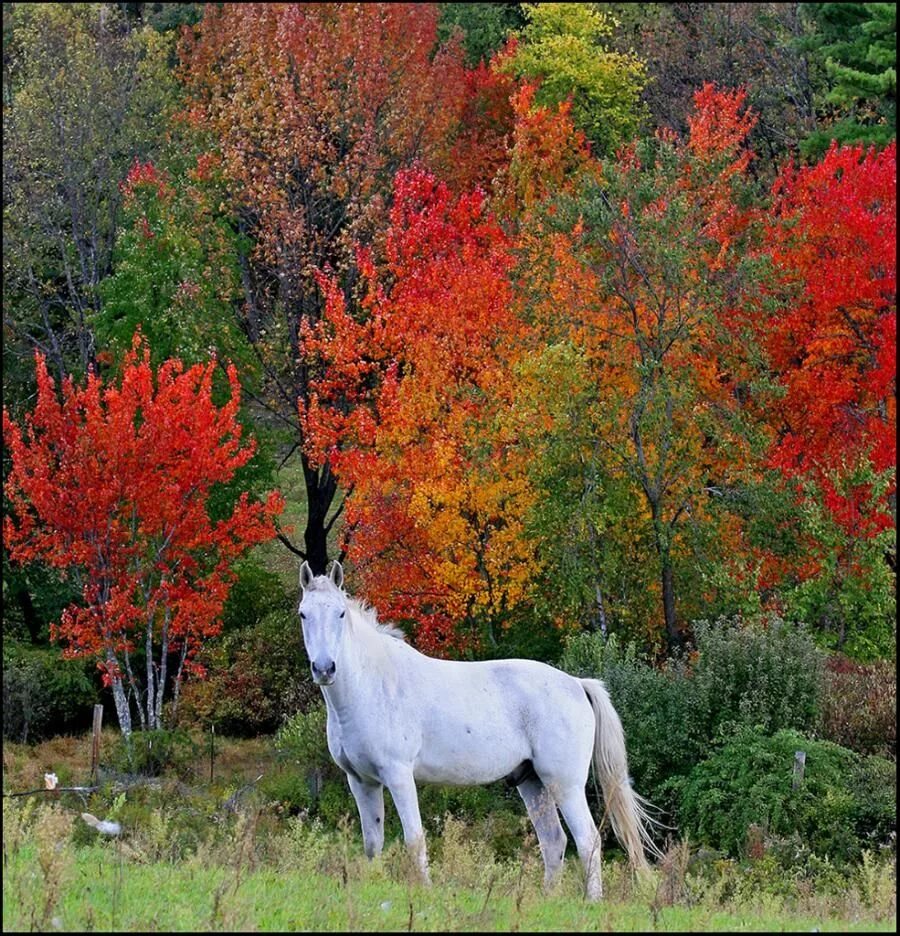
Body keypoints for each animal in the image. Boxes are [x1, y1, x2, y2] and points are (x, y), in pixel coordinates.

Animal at [298, 560, 656, 904]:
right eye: (303, 614)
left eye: (340, 613)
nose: (325, 669)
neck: (373, 684)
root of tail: (578, 684)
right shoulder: (361, 781)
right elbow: (373, 842)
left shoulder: (399, 776)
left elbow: (415, 838)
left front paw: (424, 892)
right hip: (532, 782)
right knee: (554, 841)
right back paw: (546, 899)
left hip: (564, 784)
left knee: (587, 839)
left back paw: (591, 902)